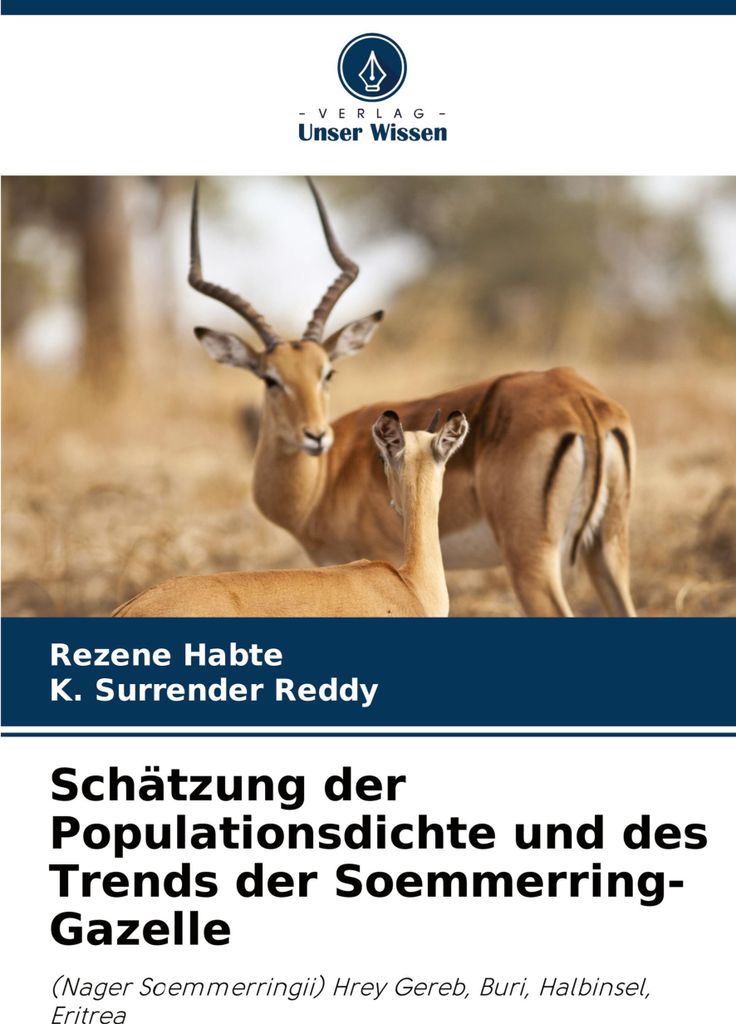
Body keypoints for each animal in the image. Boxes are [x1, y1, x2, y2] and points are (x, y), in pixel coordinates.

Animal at [188, 179, 637, 618]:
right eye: (270, 378)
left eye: (327, 372)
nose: (315, 436)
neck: (324, 480)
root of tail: (580, 399)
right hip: (606, 550)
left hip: (532, 560)